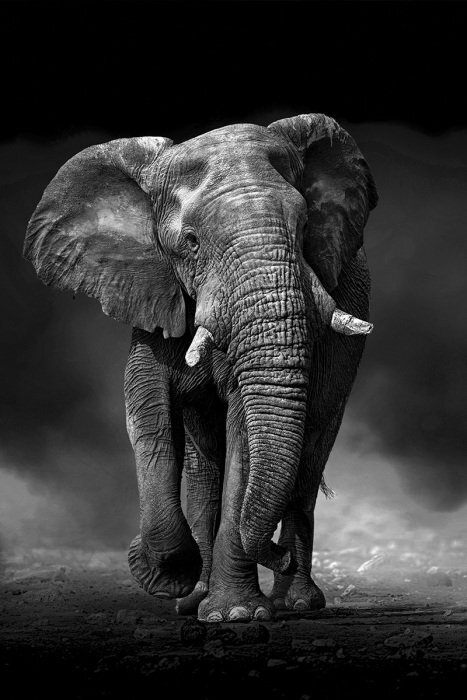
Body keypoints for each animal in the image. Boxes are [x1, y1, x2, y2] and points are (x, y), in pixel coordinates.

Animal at [23, 113, 377, 622]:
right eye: (190, 243)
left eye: (305, 224)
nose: (276, 555)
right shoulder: (151, 292)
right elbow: (147, 414)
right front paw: (170, 576)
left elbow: (244, 431)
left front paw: (236, 615)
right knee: (203, 464)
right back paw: (195, 597)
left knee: (309, 454)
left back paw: (294, 603)